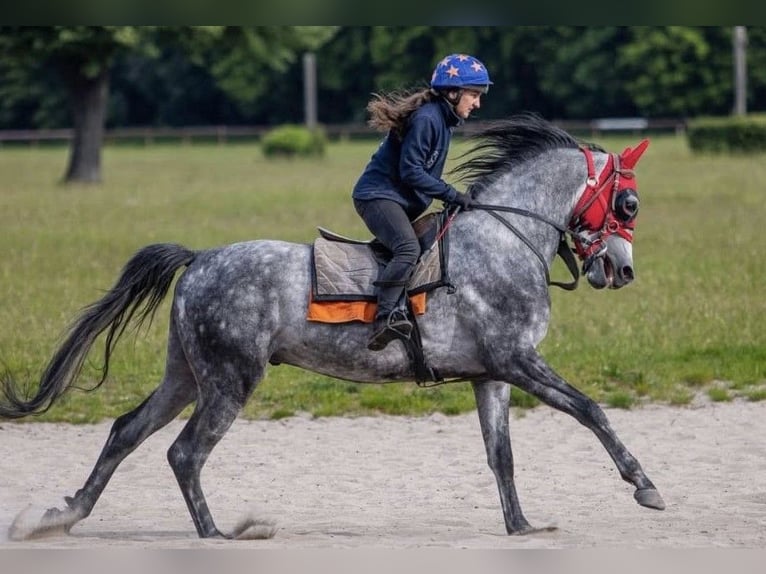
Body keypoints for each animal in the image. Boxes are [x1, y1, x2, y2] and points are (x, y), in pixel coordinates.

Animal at [1, 113, 664, 540]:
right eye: (628, 203)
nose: (623, 270)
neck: (505, 237)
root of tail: (199, 258)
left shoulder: (492, 374)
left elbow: (501, 455)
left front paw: (522, 525)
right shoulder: (520, 362)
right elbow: (591, 410)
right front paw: (644, 485)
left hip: (186, 375)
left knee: (126, 431)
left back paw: (65, 516)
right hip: (229, 380)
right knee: (184, 452)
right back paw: (218, 535)